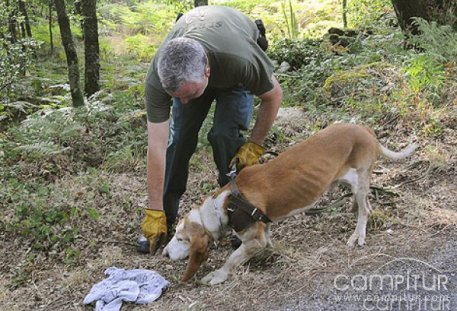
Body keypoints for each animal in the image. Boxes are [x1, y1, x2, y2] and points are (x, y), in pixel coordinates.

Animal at [161, 123, 416, 286]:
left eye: (182, 239)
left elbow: (231, 259)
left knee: (365, 211)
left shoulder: (254, 239)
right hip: (351, 182)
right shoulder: (263, 232)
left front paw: (218, 276)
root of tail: (366, 130)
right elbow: (266, 245)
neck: (223, 206)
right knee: (366, 205)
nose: (164, 254)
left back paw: (358, 234)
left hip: (359, 179)